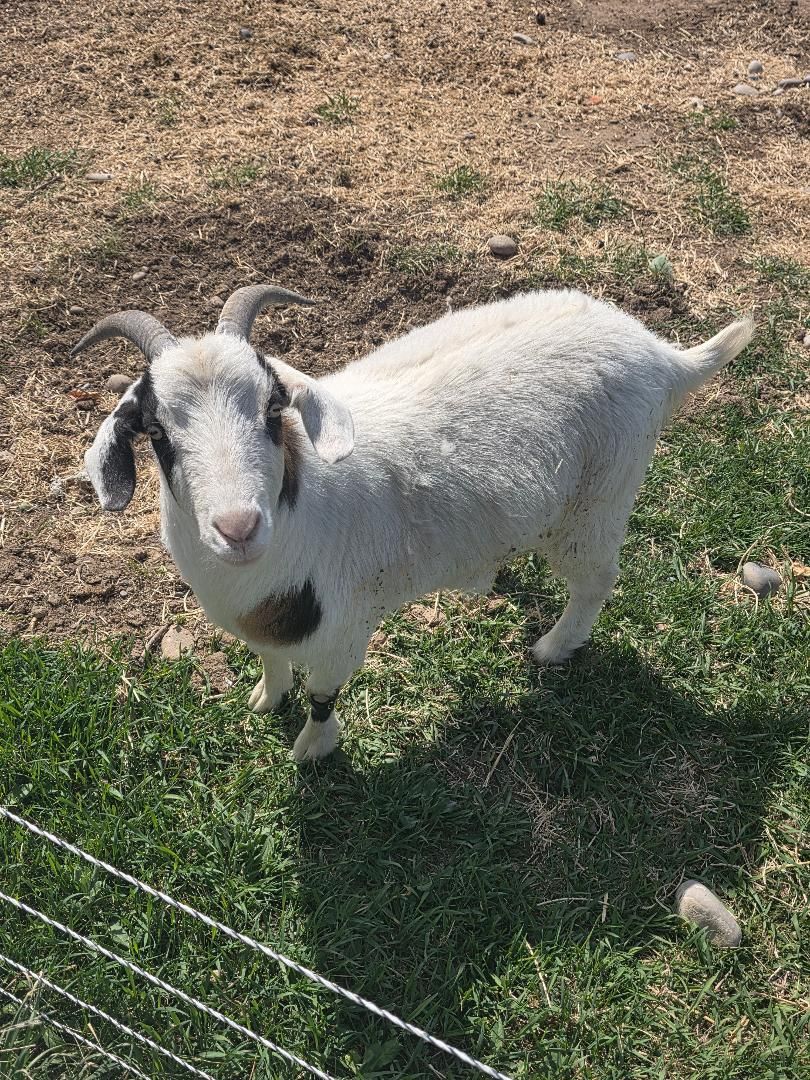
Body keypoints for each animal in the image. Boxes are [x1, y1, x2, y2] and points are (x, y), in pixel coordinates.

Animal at [75, 286, 754, 760]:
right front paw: (266, 698)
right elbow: (270, 661)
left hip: (598, 502)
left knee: (596, 581)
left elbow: (323, 696)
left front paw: (311, 750)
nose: (238, 528)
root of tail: (663, 356)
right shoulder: (266, 623)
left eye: (272, 410)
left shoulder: (344, 629)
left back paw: (554, 647)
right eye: (156, 431)